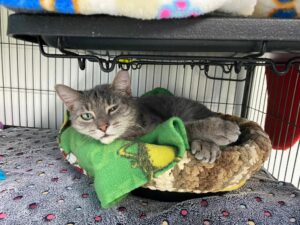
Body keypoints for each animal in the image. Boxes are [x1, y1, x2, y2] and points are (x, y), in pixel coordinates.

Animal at [55, 71, 240, 163]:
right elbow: (184, 128)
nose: (103, 127)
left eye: (113, 108)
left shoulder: (164, 127)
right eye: (87, 116)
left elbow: (186, 126)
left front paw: (221, 128)